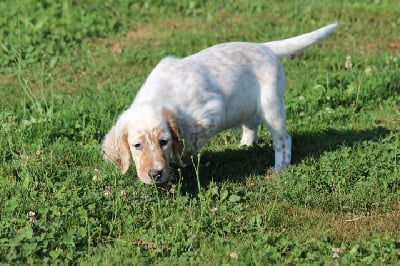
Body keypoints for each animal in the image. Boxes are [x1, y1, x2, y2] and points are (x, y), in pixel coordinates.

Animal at [102, 22, 338, 184]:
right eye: (137, 146)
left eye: (164, 142)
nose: (156, 174)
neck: (161, 97)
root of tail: (265, 48)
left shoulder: (209, 114)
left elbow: (189, 143)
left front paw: (181, 161)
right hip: (247, 104)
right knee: (251, 125)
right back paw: (245, 146)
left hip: (271, 106)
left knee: (283, 139)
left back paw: (280, 167)